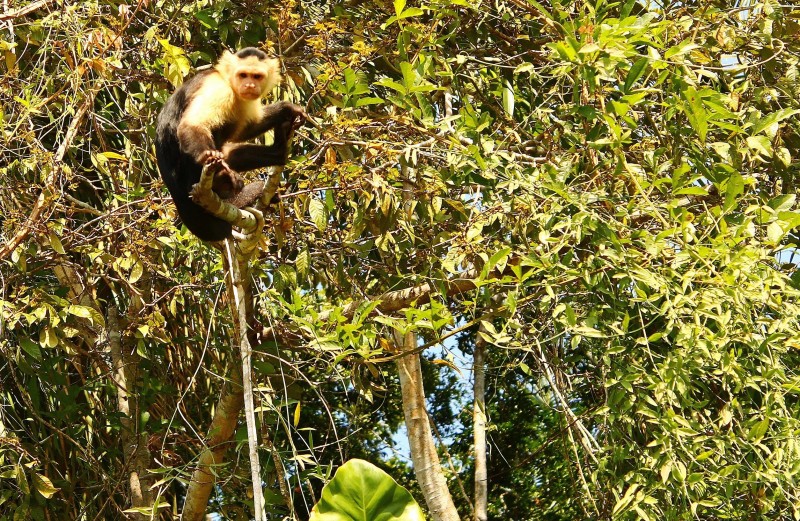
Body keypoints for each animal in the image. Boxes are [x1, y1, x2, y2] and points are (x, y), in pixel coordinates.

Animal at [156, 47, 306, 241]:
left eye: (256, 76)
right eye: (243, 75)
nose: (249, 85)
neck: (228, 81)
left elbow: (246, 128)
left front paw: (286, 109)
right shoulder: (218, 89)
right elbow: (193, 126)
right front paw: (211, 159)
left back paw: (278, 152)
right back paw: (221, 177)